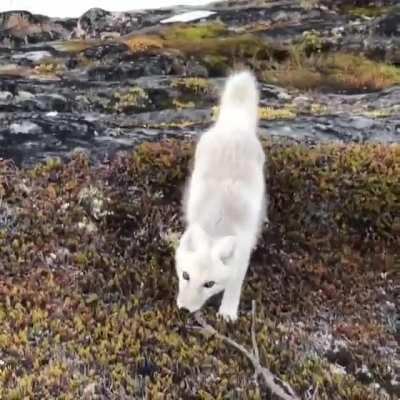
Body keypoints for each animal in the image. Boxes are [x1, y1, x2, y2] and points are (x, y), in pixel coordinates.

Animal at [174, 69, 266, 322]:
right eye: (185, 275)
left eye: (209, 284)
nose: (184, 310)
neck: (218, 224)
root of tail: (234, 125)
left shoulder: (241, 258)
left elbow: (235, 283)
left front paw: (227, 312)